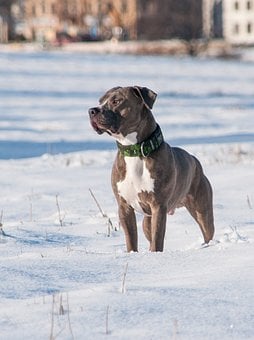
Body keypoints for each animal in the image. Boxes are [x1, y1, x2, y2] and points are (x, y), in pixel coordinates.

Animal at [89, 86, 214, 251]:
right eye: (100, 101)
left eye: (116, 101)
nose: (92, 110)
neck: (134, 150)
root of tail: (194, 160)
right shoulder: (124, 207)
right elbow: (131, 239)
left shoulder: (158, 207)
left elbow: (157, 240)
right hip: (146, 221)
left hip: (202, 210)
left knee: (207, 232)